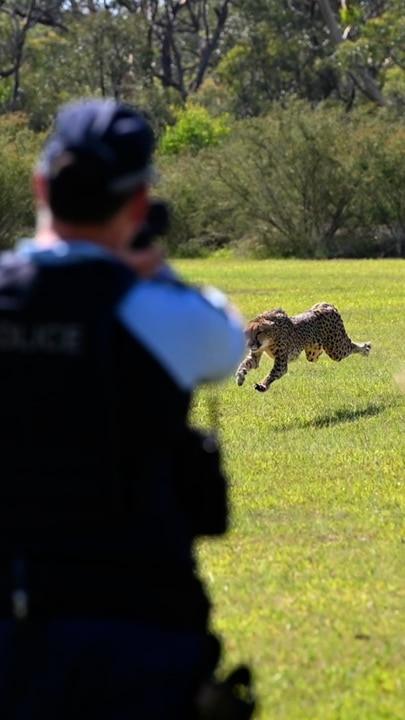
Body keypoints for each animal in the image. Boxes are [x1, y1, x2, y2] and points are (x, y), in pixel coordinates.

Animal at [235, 302, 370, 394]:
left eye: (258, 332)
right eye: (247, 334)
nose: (249, 344)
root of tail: (326, 305)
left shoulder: (281, 363)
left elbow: (273, 373)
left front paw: (263, 385)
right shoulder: (256, 354)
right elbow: (245, 364)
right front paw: (240, 376)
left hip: (336, 350)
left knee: (350, 346)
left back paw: (366, 348)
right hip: (313, 354)